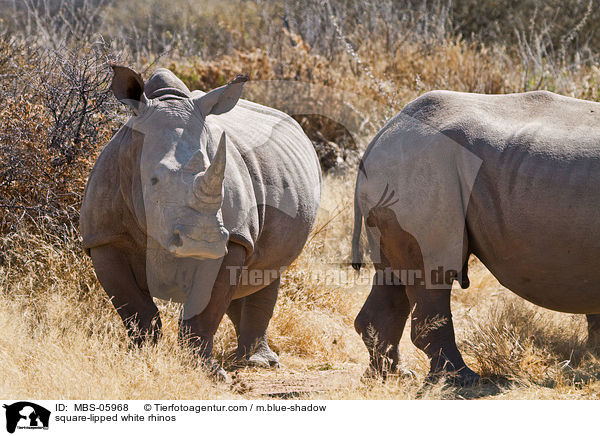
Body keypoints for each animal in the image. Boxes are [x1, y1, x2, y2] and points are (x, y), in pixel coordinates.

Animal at [83, 65, 324, 378]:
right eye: (154, 181)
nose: (202, 241)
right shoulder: (105, 237)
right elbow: (137, 311)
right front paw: (138, 360)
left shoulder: (233, 238)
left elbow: (205, 311)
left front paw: (208, 372)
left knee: (265, 272)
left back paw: (258, 363)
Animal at [350, 90, 600, 384]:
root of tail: (384, 131)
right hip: (423, 167)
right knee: (433, 273)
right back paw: (461, 379)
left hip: (401, 172)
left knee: (393, 273)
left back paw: (390, 376)